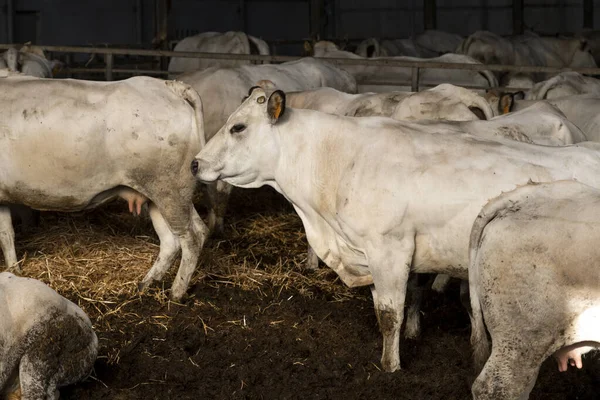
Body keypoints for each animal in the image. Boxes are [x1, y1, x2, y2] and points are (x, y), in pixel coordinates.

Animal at [0, 75, 209, 300]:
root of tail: (169, 85)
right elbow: (6, 234)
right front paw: (13, 270)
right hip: (166, 193)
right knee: (179, 238)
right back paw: (145, 284)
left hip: (169, 191)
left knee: (191, 239)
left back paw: (176, 293)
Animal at [191, 87, 600, 372]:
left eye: (238, 126)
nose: (195, 163)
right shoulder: (371, 254)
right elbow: (384, 309)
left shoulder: (389, 249)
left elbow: (390, 315)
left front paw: (390, 366)